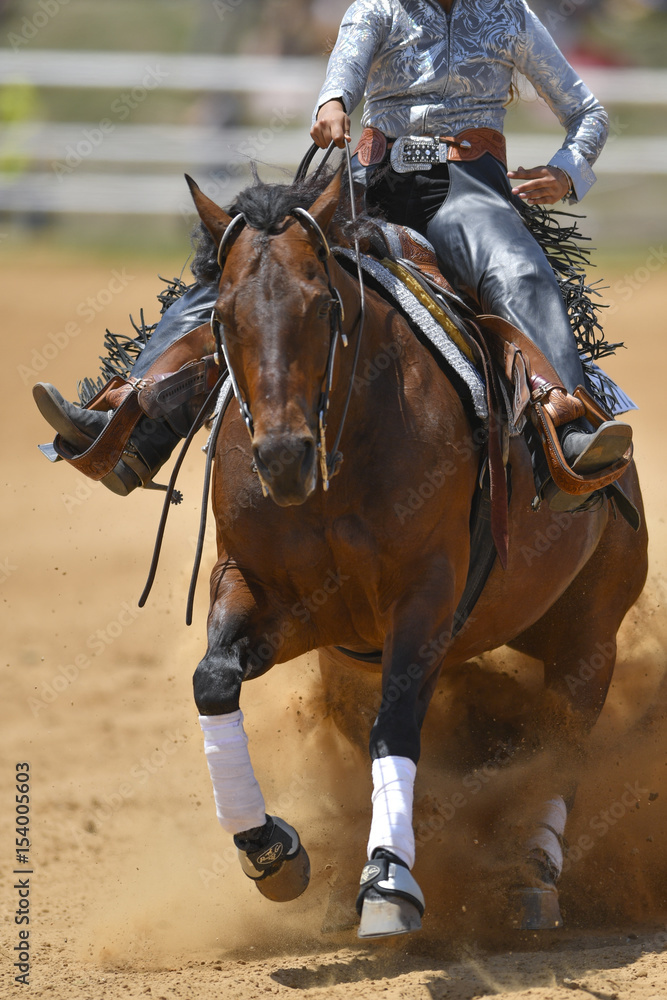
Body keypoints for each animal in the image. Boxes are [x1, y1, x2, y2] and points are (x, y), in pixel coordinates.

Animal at [186, 164, 648, 939]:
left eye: (324, 307)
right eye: (220, 315)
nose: (282, 458)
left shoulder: (425, 595)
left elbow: (396, 727)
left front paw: (387, 879)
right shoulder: (274, 598)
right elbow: (213, 681)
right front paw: (271, 850)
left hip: (589, 635)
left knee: (562, 744)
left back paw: (531, 873)